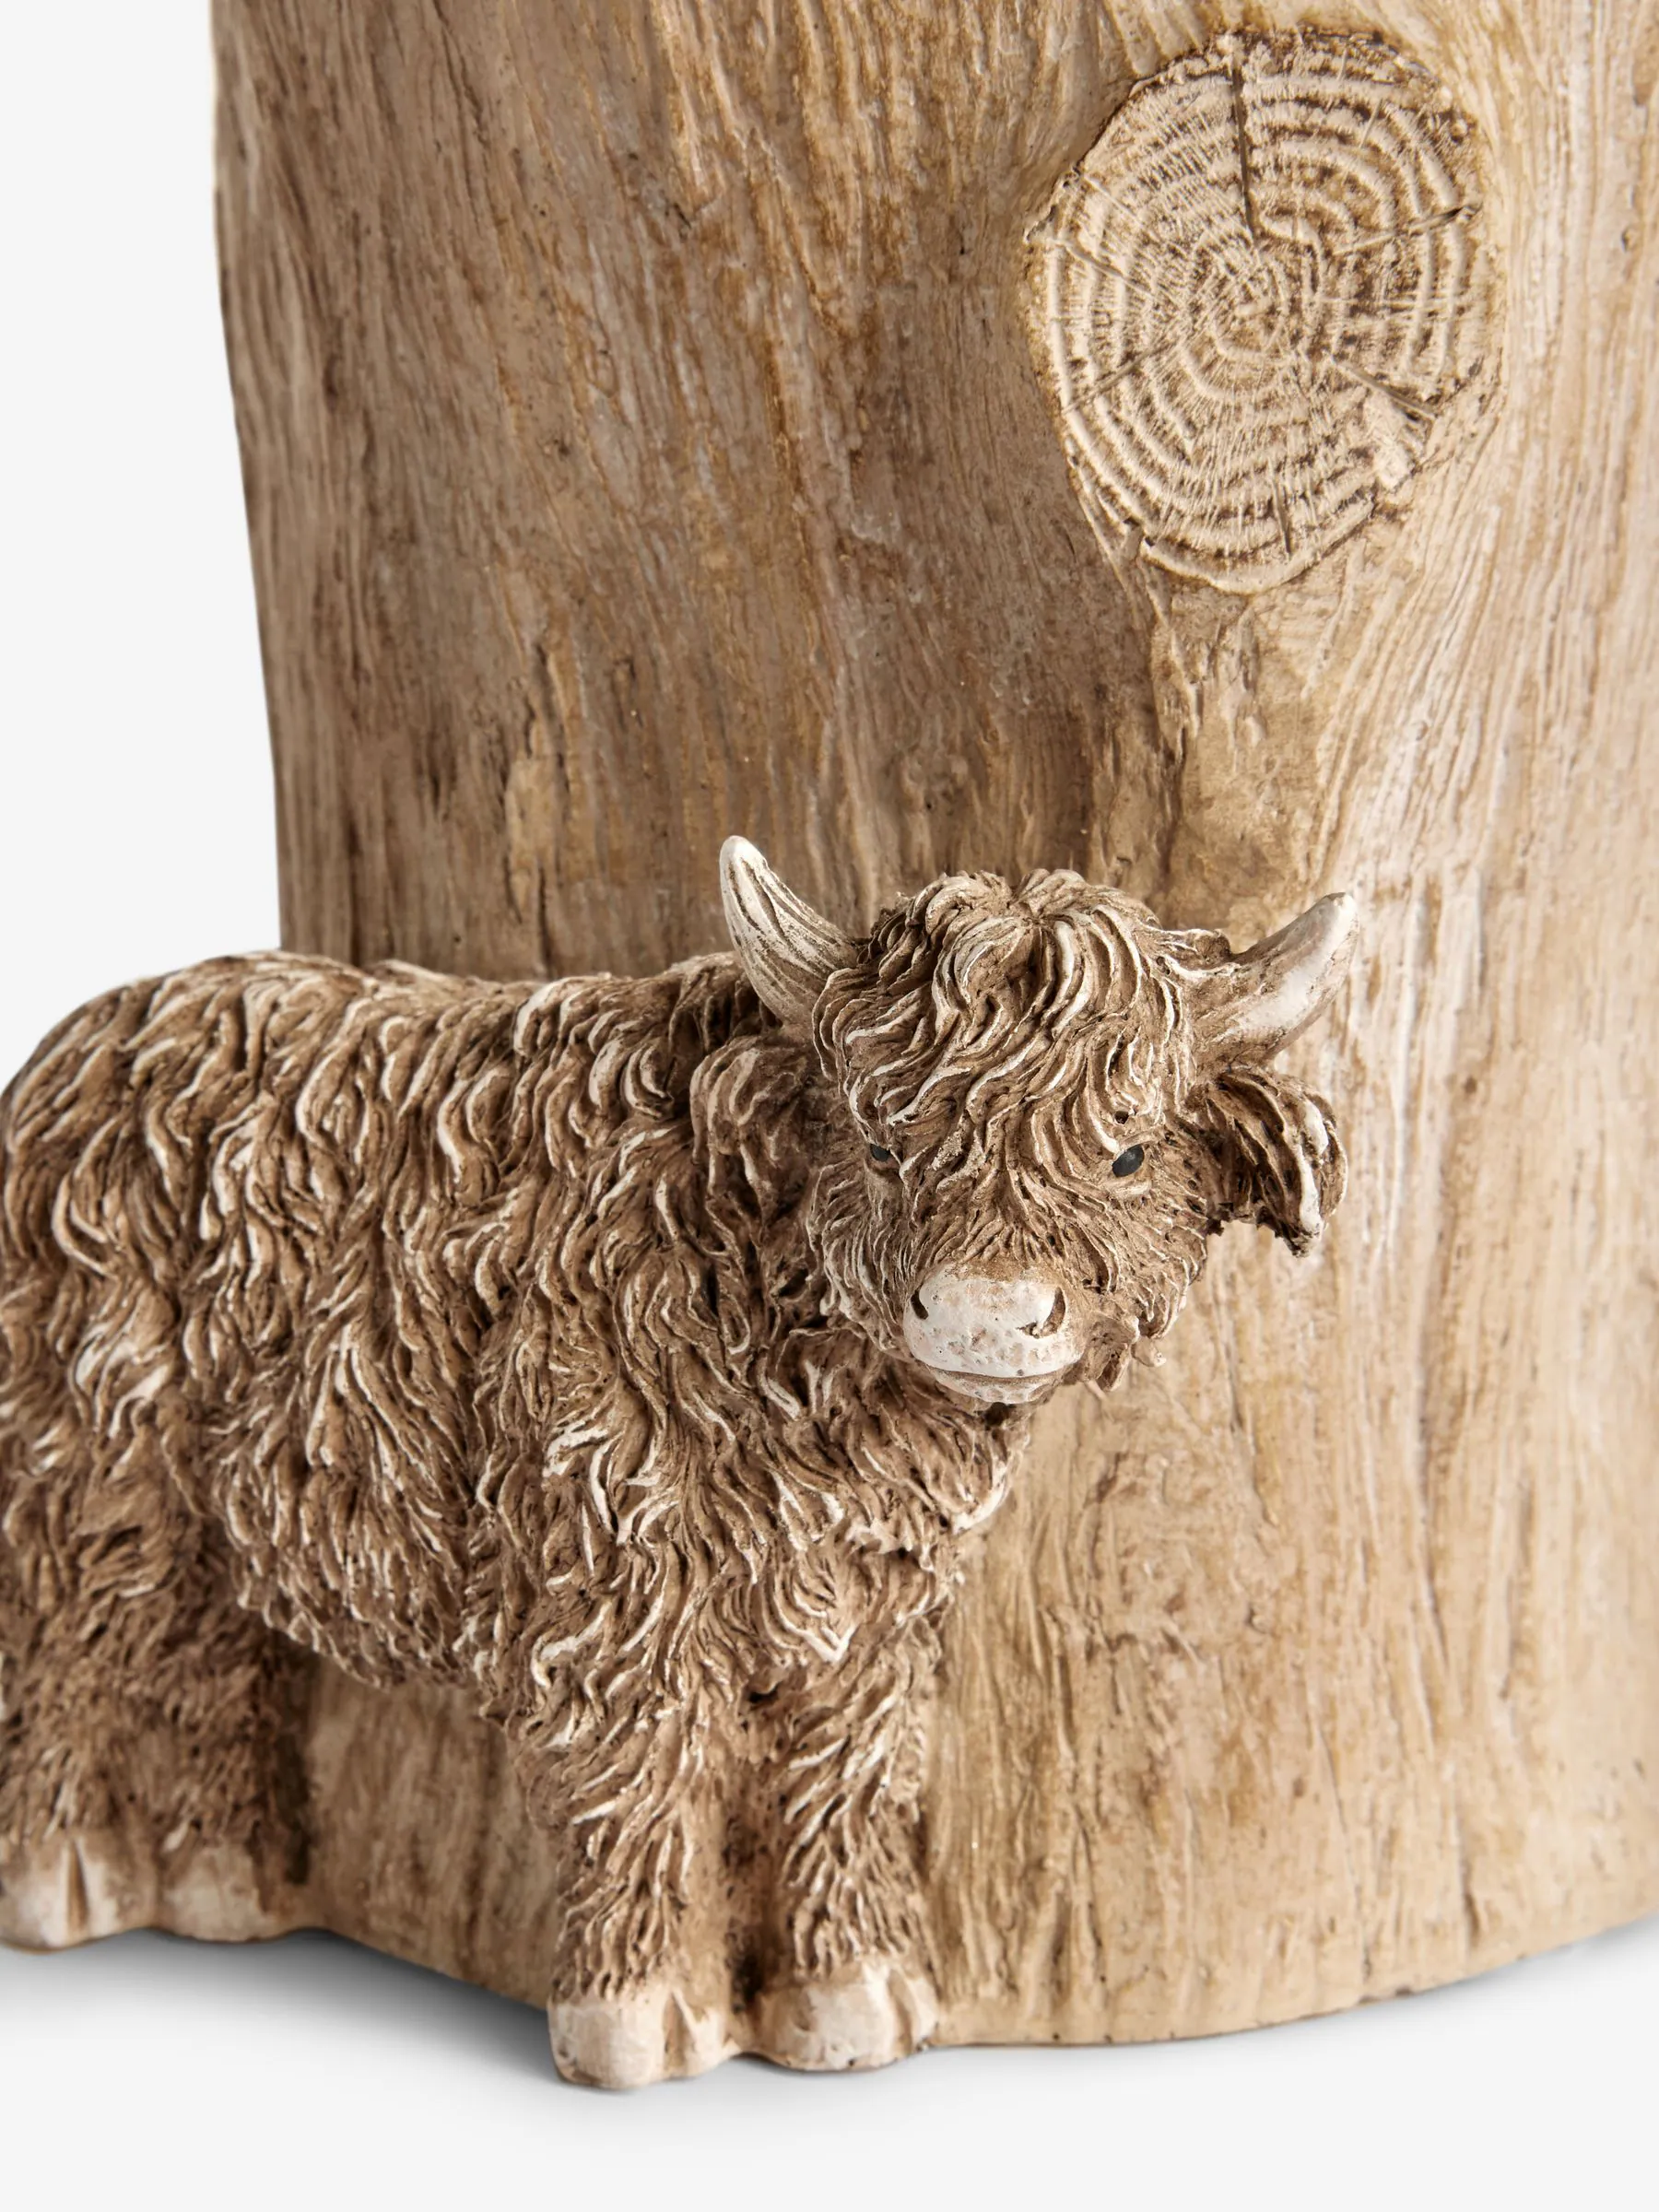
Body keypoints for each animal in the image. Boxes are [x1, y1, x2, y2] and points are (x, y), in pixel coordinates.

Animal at [0, 840, 1354, 2085]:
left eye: (1126, 1153)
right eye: (880, 1137)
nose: (985, 1314)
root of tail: (83, 1044)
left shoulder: (866, 1619)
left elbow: (845, 1781)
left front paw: (854, 1992)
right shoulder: (612, 1587)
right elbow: (639, 1788)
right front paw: (636, 2013)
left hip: (218, 1524)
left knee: (207, 1662)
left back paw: (222, 1879)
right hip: (93, 1475)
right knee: (72, 1649)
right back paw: (60, 1876)